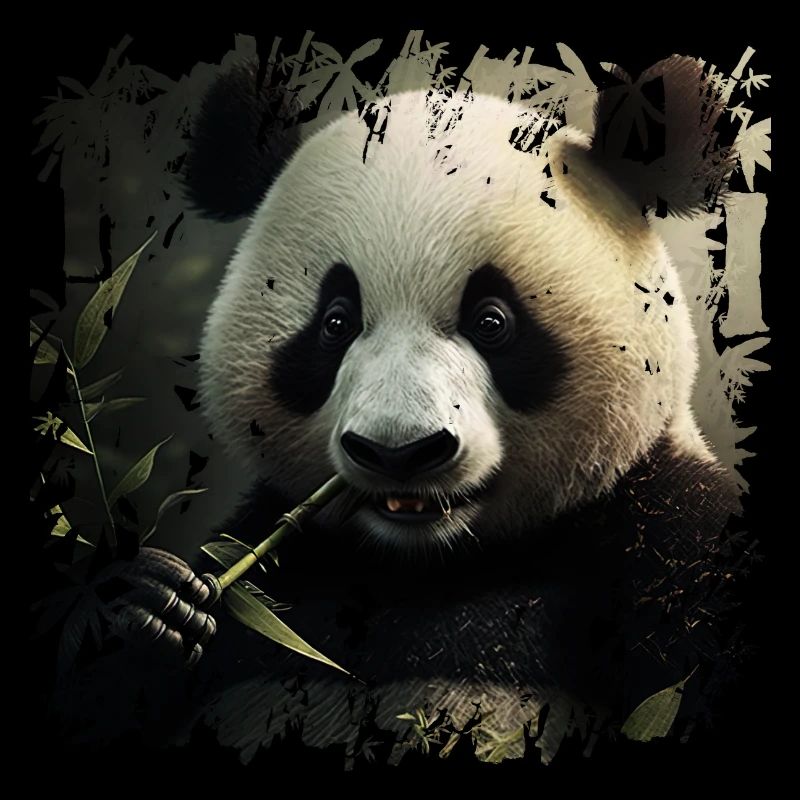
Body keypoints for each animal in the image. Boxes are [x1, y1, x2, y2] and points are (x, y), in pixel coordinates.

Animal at [89, 57, 741, 763]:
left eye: (493, 321)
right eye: (335, 322)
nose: (398, 451)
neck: (432, 567)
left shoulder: (663, 541)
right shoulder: (284, 566)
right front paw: (149, 611)